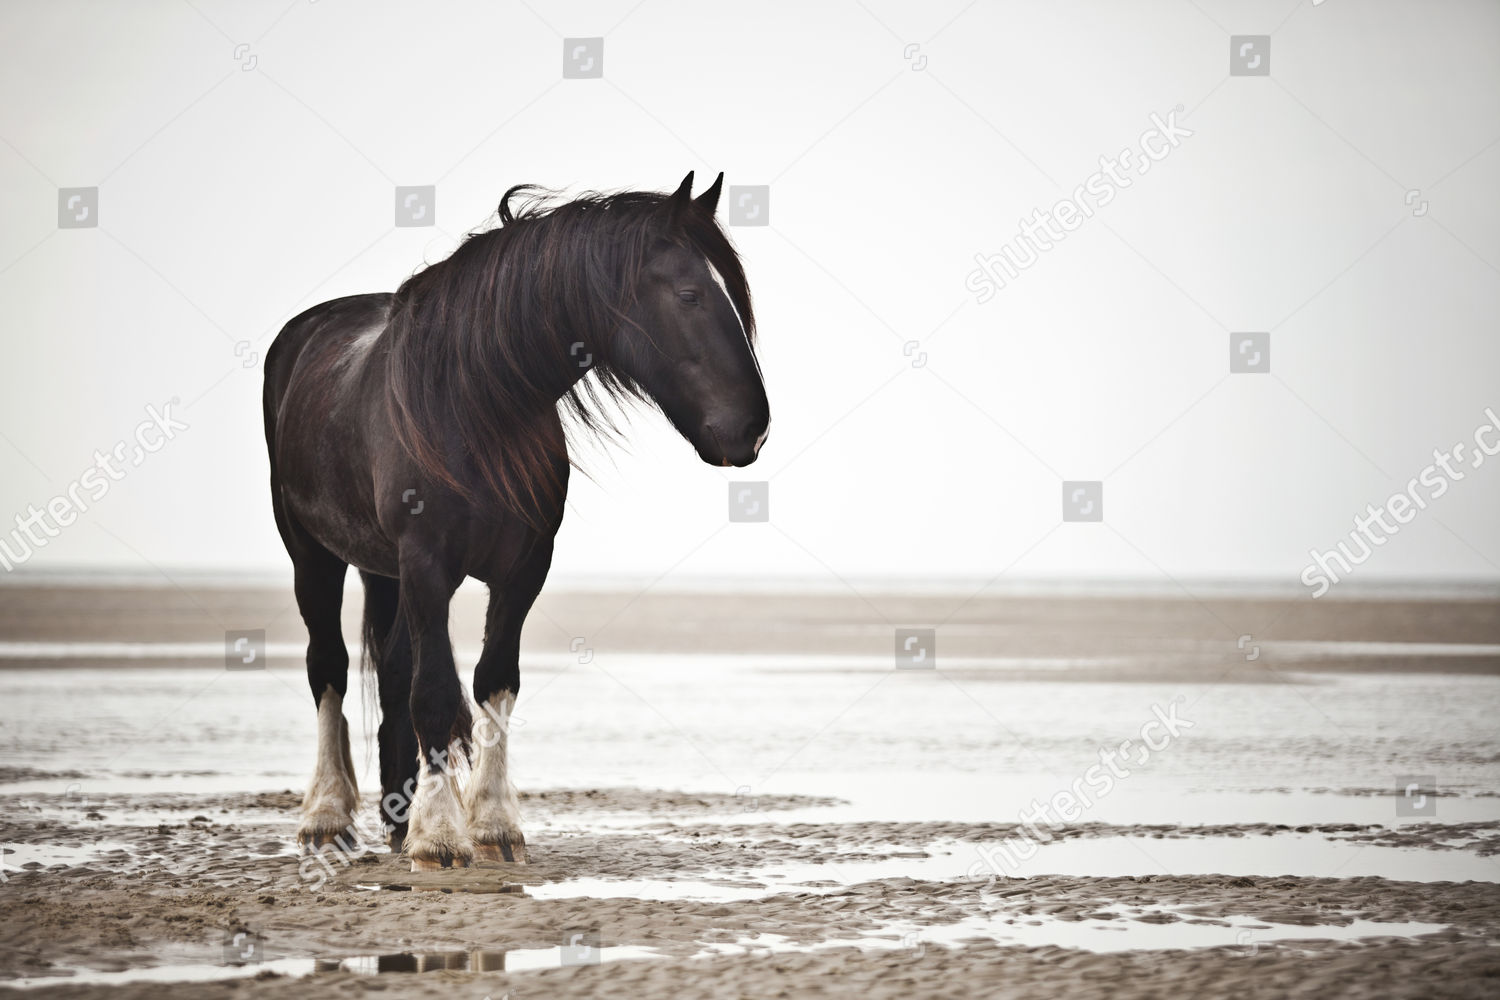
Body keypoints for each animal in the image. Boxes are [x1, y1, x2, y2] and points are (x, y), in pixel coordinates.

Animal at [259, 173, 768, 869]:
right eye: (690, 295)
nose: (753, 427)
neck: (472, 405)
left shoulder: (524, 567)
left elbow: (492, 680)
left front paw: (493, 825)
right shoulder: (427, 563)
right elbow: (434, 691)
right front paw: (440, 837)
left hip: (382, 568)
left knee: (390, 670)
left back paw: (396, 815)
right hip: (312, 555)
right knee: (329, 668)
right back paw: (327, 815)